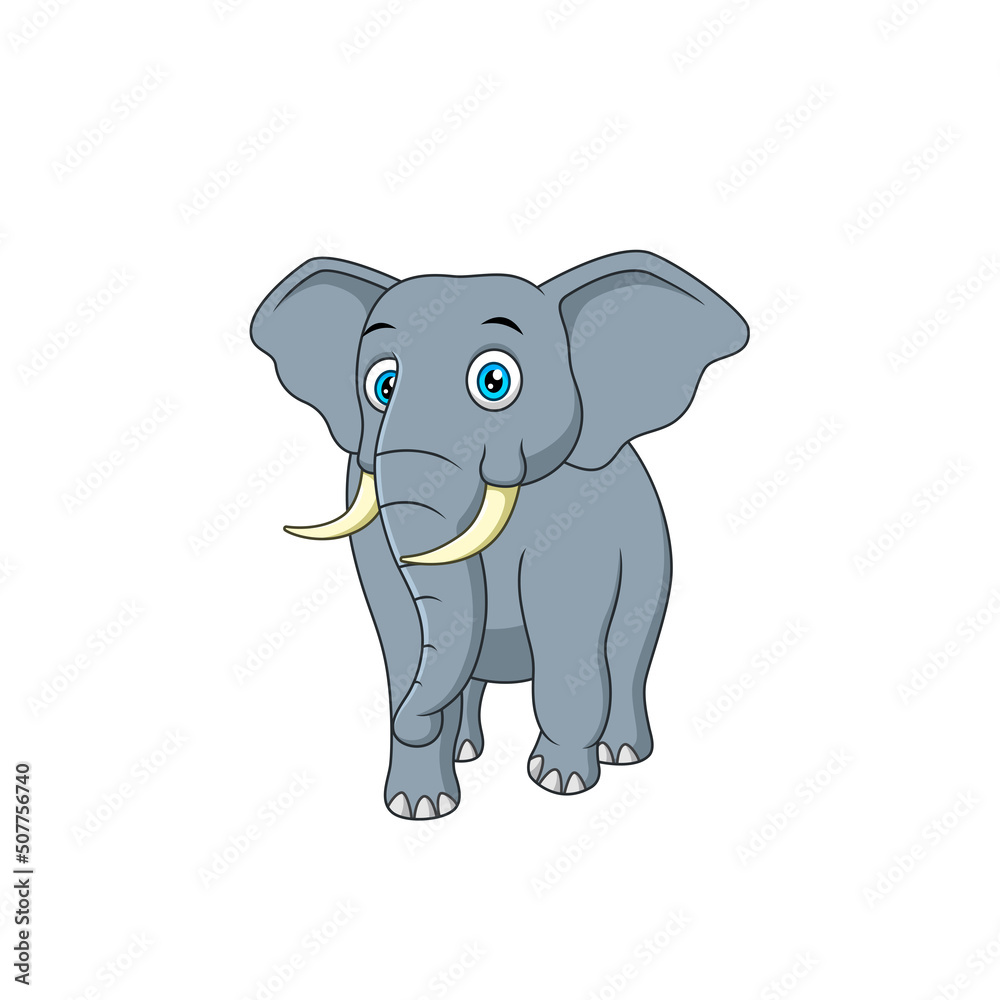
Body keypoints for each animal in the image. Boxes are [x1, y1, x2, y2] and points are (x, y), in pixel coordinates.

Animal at [250, 250, 748, 819]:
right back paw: (466, 750)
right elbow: (400, 624)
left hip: (653, 557)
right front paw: (418, 806)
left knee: (628, 652)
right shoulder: (366, 491)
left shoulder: (578, 514)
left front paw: (560, 782)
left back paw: (620, 751)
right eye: (383, 386)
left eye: (494, 382)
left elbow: (566, 620)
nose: (410, 723)